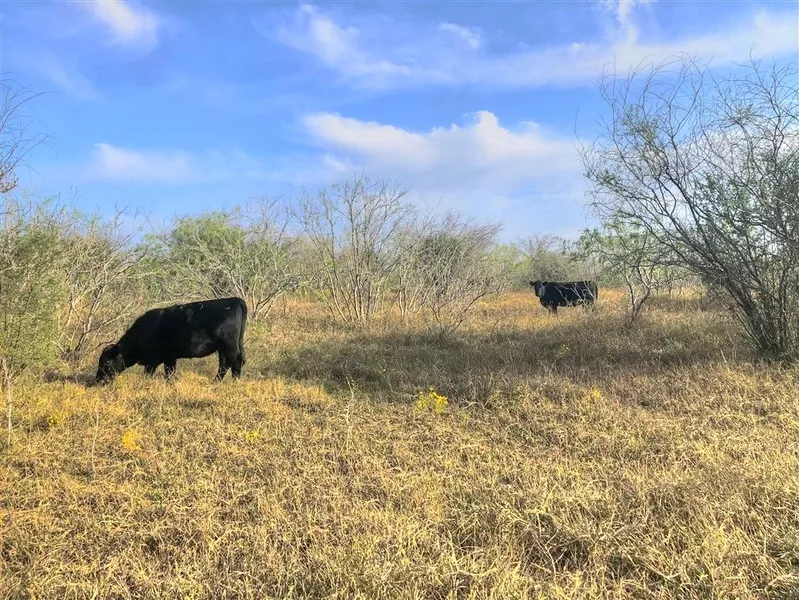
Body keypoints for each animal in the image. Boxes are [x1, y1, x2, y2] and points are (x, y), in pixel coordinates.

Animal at [95, 297, 248, 385]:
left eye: (106, 362)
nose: (98, 380)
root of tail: (234, 300)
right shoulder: (170, 358)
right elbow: (170, 373)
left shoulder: (153, 361)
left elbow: (149, 374)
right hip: (222, 347)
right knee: (224, 364)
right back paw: (215, 381)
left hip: (229, 345)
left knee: (235, 361)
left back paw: (235, 382)